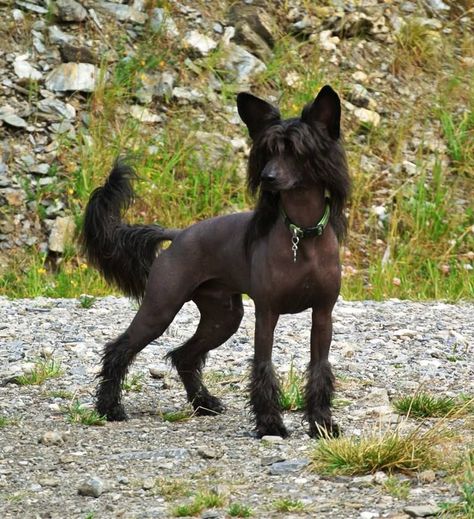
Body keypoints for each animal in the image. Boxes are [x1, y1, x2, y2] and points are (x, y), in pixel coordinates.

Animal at [81, 86, 350, 438]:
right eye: (267, 151)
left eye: (297, 151)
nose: (268, 177)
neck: (301, 236)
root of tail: (178, 234)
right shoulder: (267, 314)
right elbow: (262, 367)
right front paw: (270, 424)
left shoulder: (322, 315)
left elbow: (319, 369)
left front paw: (321, 422)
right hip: (161, 307)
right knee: (120, 349)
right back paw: (109, 408)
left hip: (223, 316)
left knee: (184, 356)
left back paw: (203, 402)